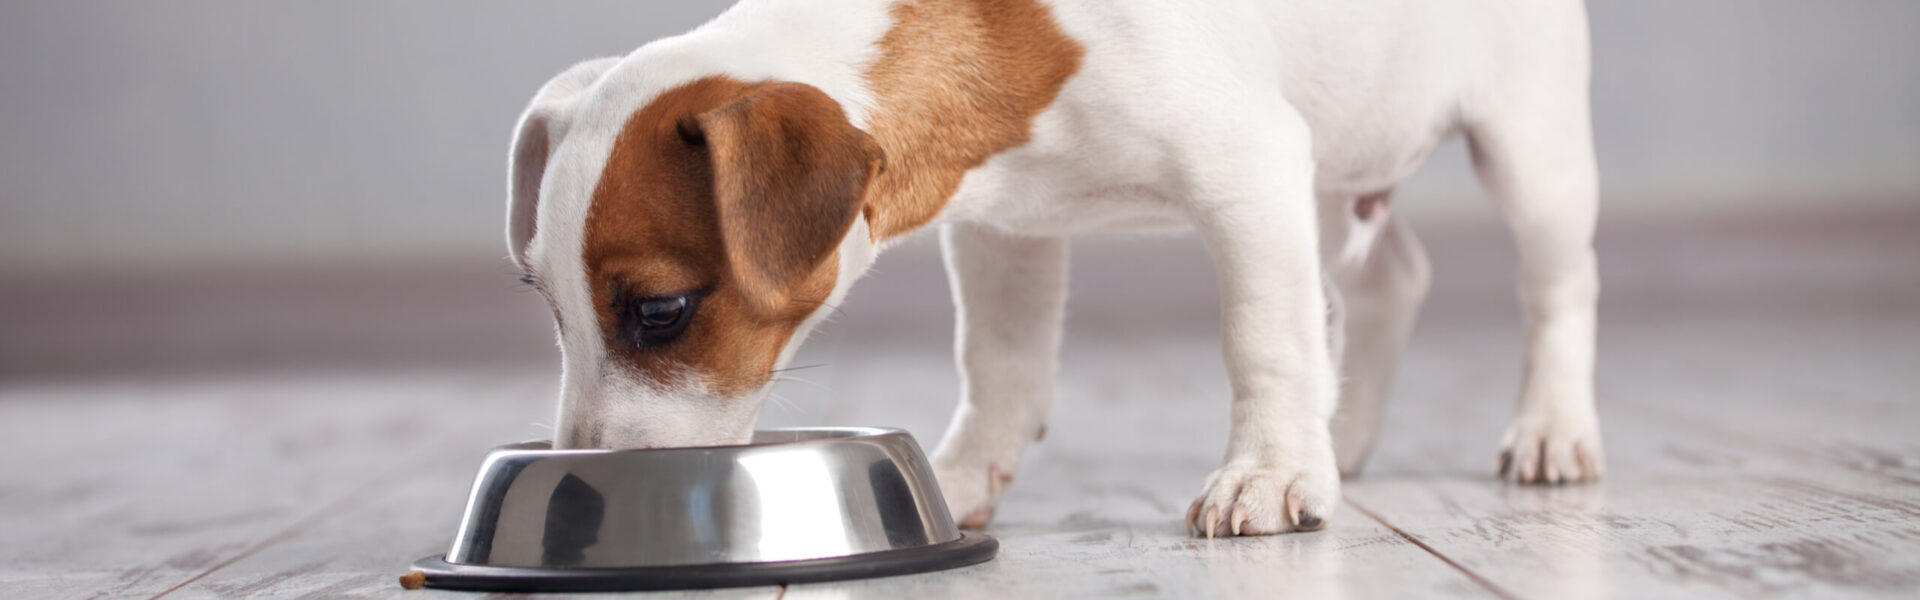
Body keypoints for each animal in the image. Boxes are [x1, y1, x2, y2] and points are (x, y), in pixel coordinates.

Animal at [503, 0, 1597, 538]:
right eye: (547, 307)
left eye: (661, 310)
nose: (583, 479)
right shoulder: (1004, 231)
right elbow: (1000, 364)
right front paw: (959, 474)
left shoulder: (1249, 172)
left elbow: (1265, 339)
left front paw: (1269, 473)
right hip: (1337, 172)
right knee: (1388, 278)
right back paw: (1351, 432)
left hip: (1524, 147)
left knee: (1556, 284)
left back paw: (1551, 428)